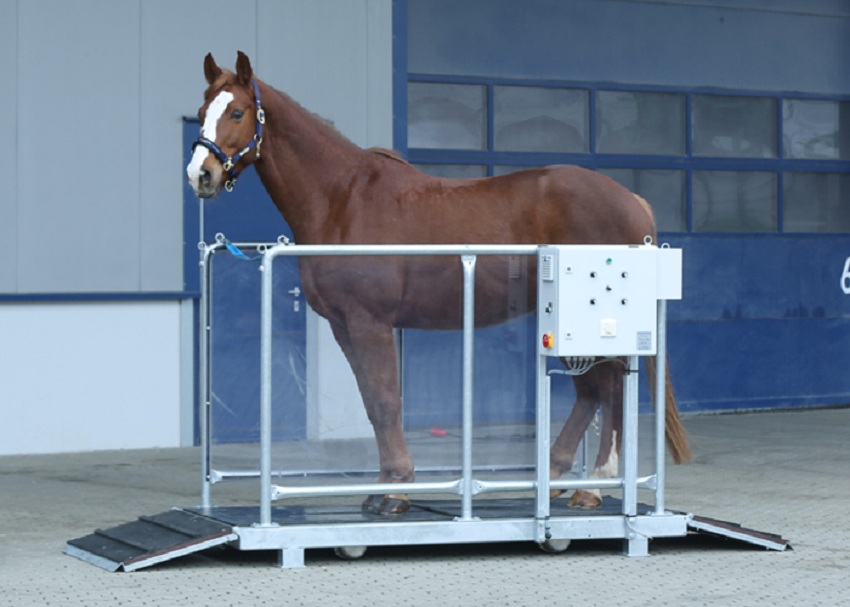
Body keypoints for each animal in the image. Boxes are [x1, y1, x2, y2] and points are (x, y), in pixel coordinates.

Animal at [186, 53, 688, 516]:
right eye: (203, 108)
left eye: (237, 112)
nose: (200, 174)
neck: (343, 198)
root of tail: (633, 200)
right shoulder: (344, 326)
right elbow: (373, 403)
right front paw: (384, 487)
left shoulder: (370, 323)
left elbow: (385, 402)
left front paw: (395, 491)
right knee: (594, 393)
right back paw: (562, 481)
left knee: (609, 391)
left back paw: (593, 487)